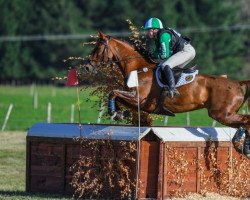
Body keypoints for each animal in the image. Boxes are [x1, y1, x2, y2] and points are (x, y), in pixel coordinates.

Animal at [84, 32, 250, 159]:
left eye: (98, 48)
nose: (87, 67)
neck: (138, 68)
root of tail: (237, 83)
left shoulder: (140, 99)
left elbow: (113, 93)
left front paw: (115, 113)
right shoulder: (135, 100)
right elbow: (115, 95)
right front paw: (120, 113)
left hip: (221, 114)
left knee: (246, 121)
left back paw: (245, 147)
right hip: (225, 115)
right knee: (243, 123)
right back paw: (240, 143)